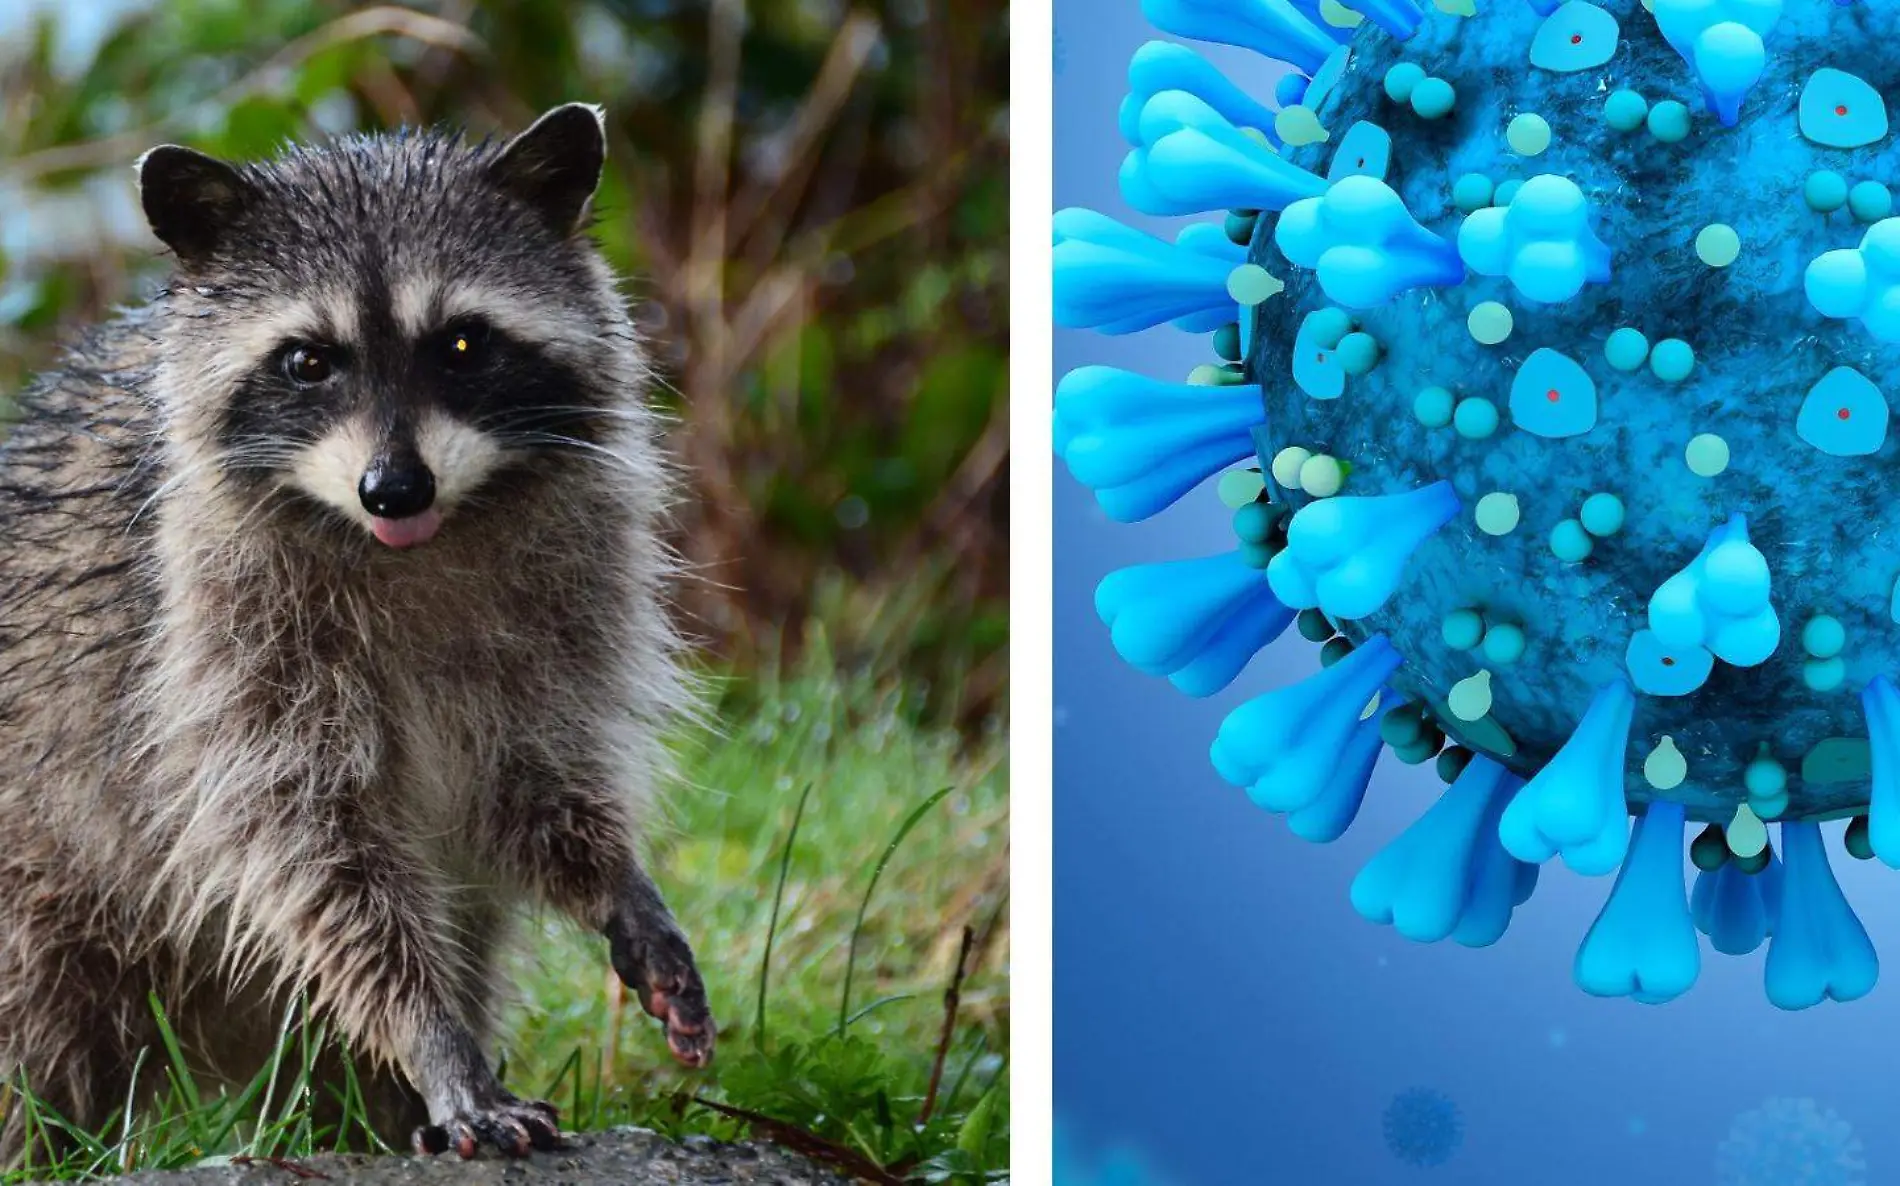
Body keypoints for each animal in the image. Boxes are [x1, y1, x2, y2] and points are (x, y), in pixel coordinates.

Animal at [0, 106, 714, 1163]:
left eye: (462, 343)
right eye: (307, 360)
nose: (395, 489)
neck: (411, 543)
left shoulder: (568, 593)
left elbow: (533, 778)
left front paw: (614, 879)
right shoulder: (215, 635)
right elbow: (313, 850)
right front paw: (433, 1039)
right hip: (41, 872)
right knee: (34, 1025)